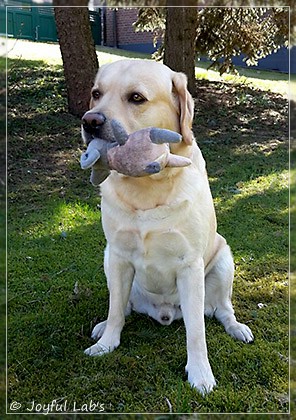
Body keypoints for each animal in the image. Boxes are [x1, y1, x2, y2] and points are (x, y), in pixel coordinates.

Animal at [82, 60, 253, 394]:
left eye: (136, 98)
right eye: (96, 93)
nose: (90, 121)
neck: (148, 188)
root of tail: (163, 312)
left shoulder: (190, 265)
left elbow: (196, 331)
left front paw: (200, 373)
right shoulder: (118, 256)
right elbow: (115, 309)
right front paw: (107, 343)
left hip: (224, 260)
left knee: (222, 310)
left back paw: (237, 328)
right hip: (108, 260)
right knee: (122, 306)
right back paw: (104, 326)